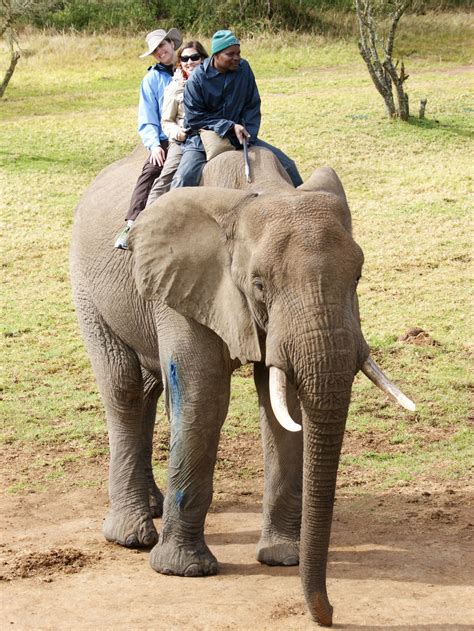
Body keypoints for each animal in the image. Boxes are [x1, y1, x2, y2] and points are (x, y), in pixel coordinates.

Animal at [71, 144, 414, 628]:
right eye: (259, 284)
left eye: (358, 277)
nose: (328, 614)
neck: (257, 191)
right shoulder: (185, 280)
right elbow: (204, 394)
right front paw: (184, 571)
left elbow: (283, 401)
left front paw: (283, 557)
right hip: (88, 285)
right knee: (123, 388)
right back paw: (132, 536)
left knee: (151, 390)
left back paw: (155, 509)